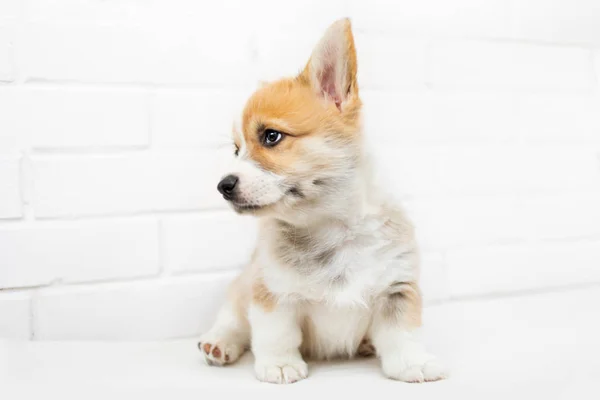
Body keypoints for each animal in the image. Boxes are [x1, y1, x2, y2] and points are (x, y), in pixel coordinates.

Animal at [199, 16, 448, 384]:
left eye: (271, 136)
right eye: (236, 150)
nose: (223, 185)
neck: (331, 227)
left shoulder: (396, 287)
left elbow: (401, 333)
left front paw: (412, 363)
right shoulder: (272, 292)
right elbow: (276, 334)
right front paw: (280, 364)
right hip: (241, 288)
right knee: (232, 318)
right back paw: (218, 343)